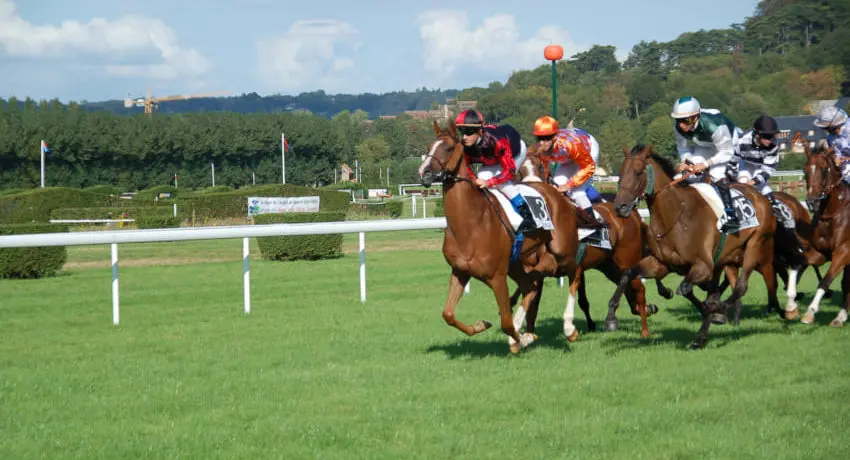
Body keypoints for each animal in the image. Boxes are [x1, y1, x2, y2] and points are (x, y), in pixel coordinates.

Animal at [418, 120, 587, 353]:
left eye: (449, 148)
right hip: (516, 263)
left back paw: (569, 329)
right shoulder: (460, 271)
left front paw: (522, 339)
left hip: (561, 249)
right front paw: (482, 325)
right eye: (429, 146)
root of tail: (559, 195)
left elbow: (506, 322)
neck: (470, 224)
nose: (424, 172)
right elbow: (448, 314)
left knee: (575, 274)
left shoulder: (497, 276)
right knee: (530, 287)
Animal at [613, 144, 778, 349]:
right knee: (721, 289)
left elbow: (685, 289)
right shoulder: (662, 264)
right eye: (620, 173)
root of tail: (760, 197)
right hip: (728, 258)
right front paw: (610, 315)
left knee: (740, 287)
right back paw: (704, 332)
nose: (619, 207)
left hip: (755, 245)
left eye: (637, 172)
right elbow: (628, 274)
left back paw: (717, 312)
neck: (675, 216)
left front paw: (712, 312)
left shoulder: (703, 265)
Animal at [799, 140, 850, 327]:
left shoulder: (844, 252)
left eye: (825, 170)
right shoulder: (819, 252)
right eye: (805, 170)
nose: (812, 202)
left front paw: (810, 311)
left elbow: (825, 280)